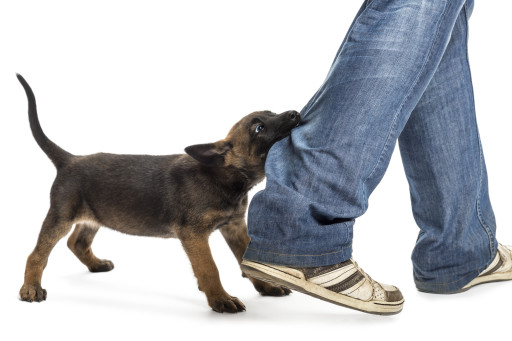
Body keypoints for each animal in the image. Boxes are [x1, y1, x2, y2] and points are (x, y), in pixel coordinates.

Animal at [18, 75, 300, 314]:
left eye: (271, 114)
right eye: (259, 128)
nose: (295, 114)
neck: (223, 177)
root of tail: (69, 160)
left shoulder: (234, 227)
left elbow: (247, 262)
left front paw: (267, 286)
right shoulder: (194, 234)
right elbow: (209, 268)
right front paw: (220, 298)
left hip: (94, 216)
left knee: (77, 242)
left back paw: (96, 264)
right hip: (61, 216)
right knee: (37, 254)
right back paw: (31, 288)